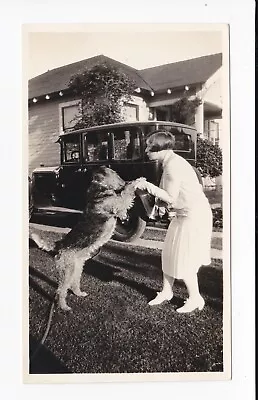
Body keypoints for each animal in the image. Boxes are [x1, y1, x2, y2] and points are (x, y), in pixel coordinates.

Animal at [31, 167, 144, 310]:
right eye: (115, 173)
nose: (125, 181)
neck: (98, 190)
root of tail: (59, 244)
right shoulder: (118, 202)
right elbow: (126, 194)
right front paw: (139, 181)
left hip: (77, 268)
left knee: (73, 284)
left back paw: (79, 293)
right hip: (67, 271)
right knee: (61, 290)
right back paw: (64, 306)